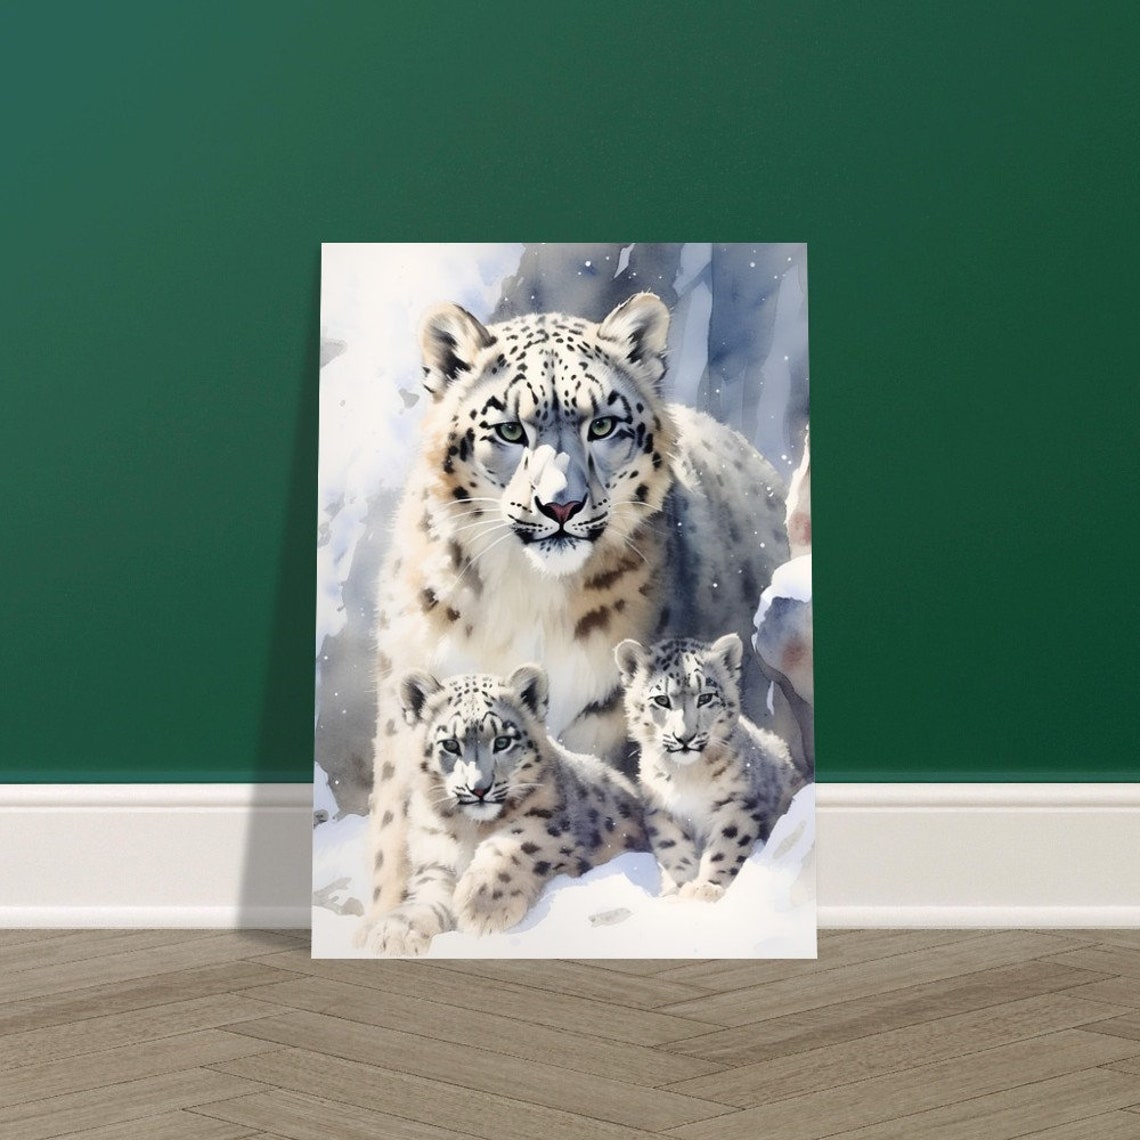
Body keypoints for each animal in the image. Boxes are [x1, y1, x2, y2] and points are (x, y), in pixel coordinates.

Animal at [359, 665, 646, 955]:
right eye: (450, 745)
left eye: (502, 741)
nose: (479, 788)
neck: (467, 830)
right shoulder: (435, 860)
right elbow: (426, 895)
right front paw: (394, 932)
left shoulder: (552, 825)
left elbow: (516, 843)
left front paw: (483, 906)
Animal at [615, 632, 804, 901]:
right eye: (661, 699)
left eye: (705, 697)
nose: (684, 737)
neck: (687, 775)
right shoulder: (662, 810)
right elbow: (674, 849)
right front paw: (679, 889)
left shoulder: (737, 804)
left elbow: (724, 847)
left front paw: (705, 888)